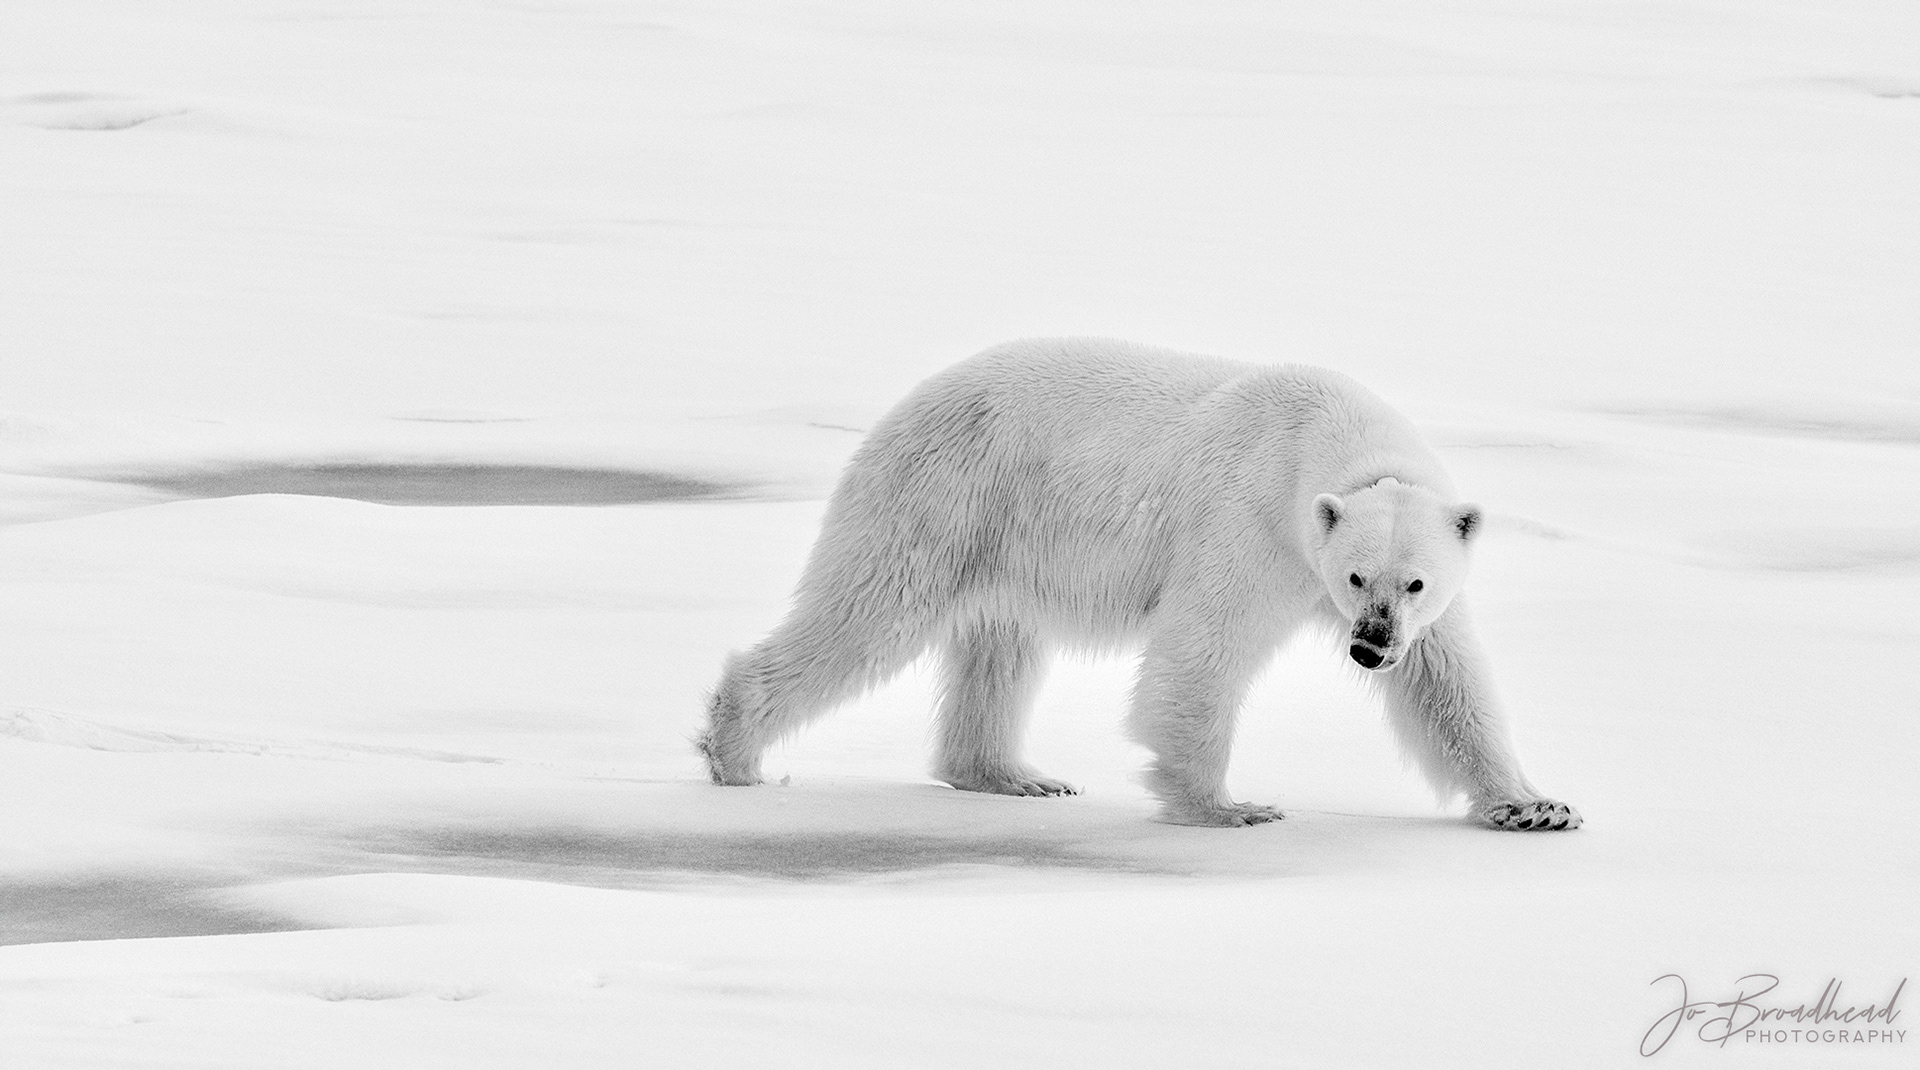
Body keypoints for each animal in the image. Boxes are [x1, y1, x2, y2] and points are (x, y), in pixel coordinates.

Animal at [698, 337, 1580, 831]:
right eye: (1355, 575)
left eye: (1417, 583)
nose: (1368, 647)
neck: (1323, 437)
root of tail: (907, 403)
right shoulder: (1251, 525)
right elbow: (1203, 648)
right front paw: (1229, 807)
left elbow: (1445, 682)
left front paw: (1536, 805)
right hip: (946, 494)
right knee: (869, 612)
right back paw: (737, 754)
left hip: (1005, 536)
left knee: (1000, 648)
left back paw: (1018, 775)